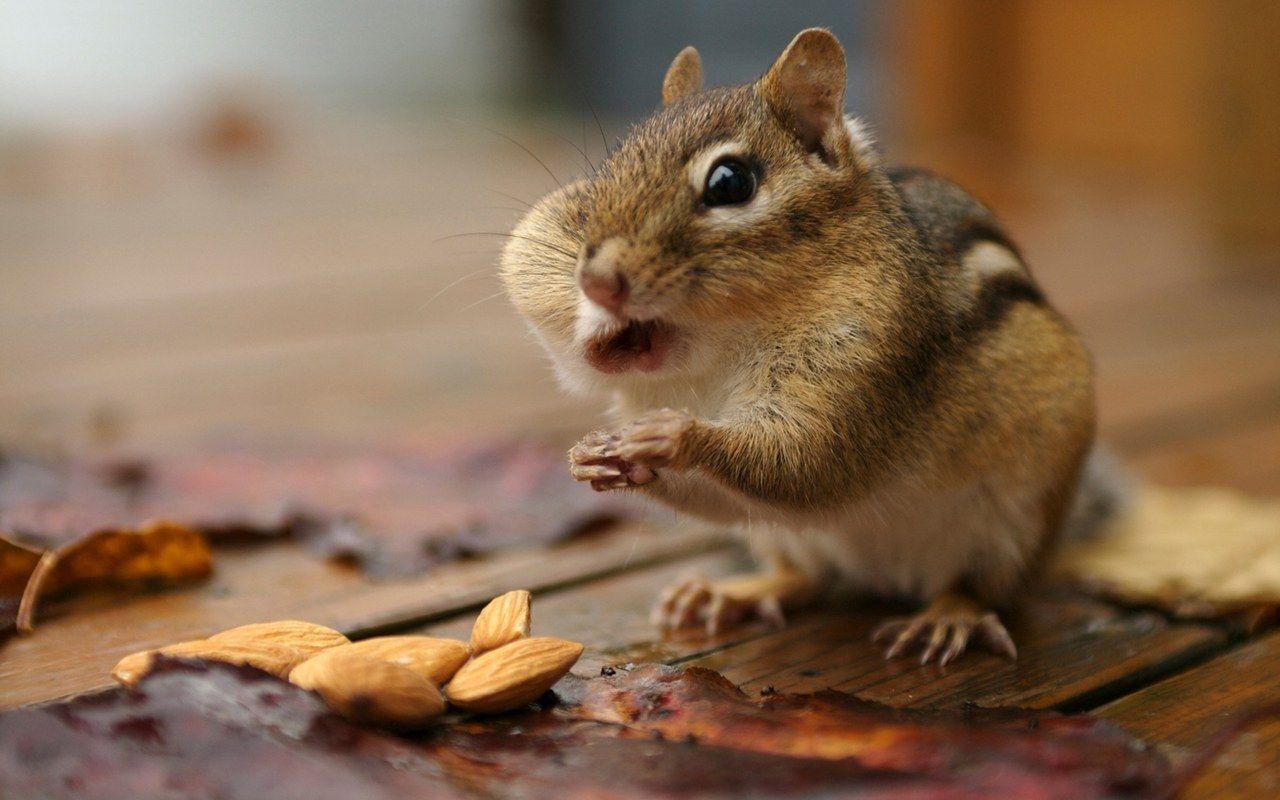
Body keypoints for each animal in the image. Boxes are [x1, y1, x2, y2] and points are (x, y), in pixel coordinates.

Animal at [500, 29, 1100, 665]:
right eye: (610, 167)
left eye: (730, 182)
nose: (595, 282)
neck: (726, 340)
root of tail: (885, 577)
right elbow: (740, 491)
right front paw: (595, 456)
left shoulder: (870, 356)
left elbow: (810, 460)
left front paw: (674, 436)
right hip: (784, 537)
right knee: (805, 576)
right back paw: (730, 592)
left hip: (1014, 524)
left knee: (978, 586)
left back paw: (947, 617)